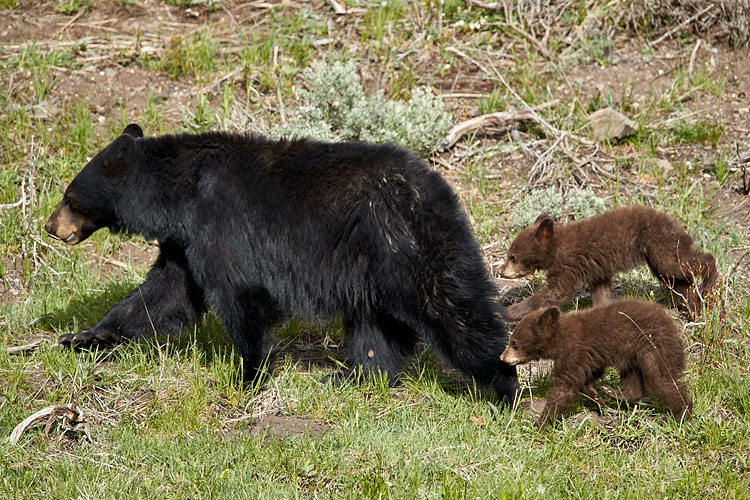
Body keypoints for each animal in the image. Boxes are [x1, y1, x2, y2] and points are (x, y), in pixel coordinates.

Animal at [45, 124, 519, 402]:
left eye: (68, 196)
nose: (50, 226)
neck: (180, 193)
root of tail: (438, 187)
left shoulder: (220, 223)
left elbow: (237, 294)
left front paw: (246, 376)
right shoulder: (186, 240)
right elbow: (163, 294)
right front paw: (84, 337)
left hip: (404, 244)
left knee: (453, 307)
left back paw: (504, 384)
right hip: (369, 268)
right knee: (375, 328)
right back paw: (354, 378)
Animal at [499, 206, 717, 321]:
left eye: (512, 256)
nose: (501, 271)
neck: (555, 248)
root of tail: (679, 227)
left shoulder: (568, 264)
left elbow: (555, 292)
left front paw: (509, 310)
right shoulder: (596, 270)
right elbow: (600, 293)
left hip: (658, 245)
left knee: (683, 264)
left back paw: (709, 282)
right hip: (656, 255)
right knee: (678, 280)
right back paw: (695, 308)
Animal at [500, 299, 693, 428]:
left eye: (514, 343)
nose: (502, 357)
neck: (560, 338)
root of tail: (672, 324)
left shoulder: (573, 351)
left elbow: (564, 388)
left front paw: (541, 423)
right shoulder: (588, 357)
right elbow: (590, 375)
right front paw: (597, 398)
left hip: (653, 346)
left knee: (662, 377)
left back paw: (680, 414)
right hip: (632, 352)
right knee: (632, 376)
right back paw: (615, 393)